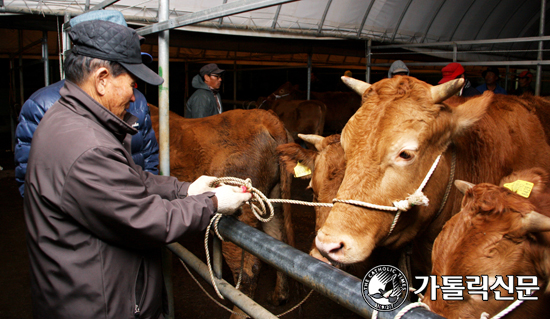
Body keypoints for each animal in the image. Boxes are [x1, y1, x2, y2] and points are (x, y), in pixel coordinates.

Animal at [150, 105, 298, 318]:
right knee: (278, 240)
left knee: (248, 270)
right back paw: (278, 296)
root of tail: (267, 117)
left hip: (240, 217)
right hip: (273, 200)